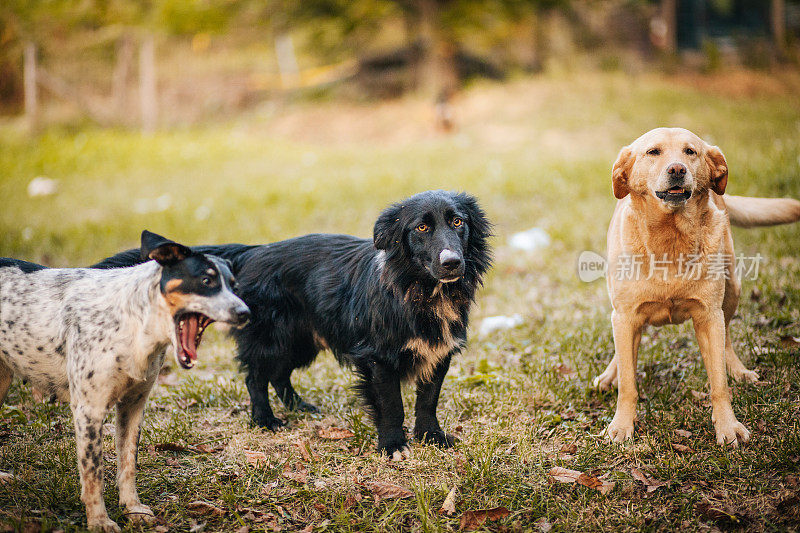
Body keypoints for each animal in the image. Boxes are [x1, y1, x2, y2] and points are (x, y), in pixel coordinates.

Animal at [0, 231, 250, 528]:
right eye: (206, 280)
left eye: (233, 286)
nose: (245, 313)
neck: (135, 325)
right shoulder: (89, 411)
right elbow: (93, 473)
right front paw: (99, 521)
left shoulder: (133, 405)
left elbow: (128, 463)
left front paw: (132, 508)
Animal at [95, 191, 494, 458]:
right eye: (422, 227)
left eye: (458, 222)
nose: (452, 263)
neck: (421, 290)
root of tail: (254, 252)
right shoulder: (379, 358)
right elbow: (392, 404)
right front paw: (393, 445)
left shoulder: (439, 353)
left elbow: (428, 400)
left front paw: (431, 437)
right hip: (271, 337)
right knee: (256, 377)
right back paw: (265, 419)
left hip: (300, 340)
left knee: (279, 375)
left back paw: (298, 407)